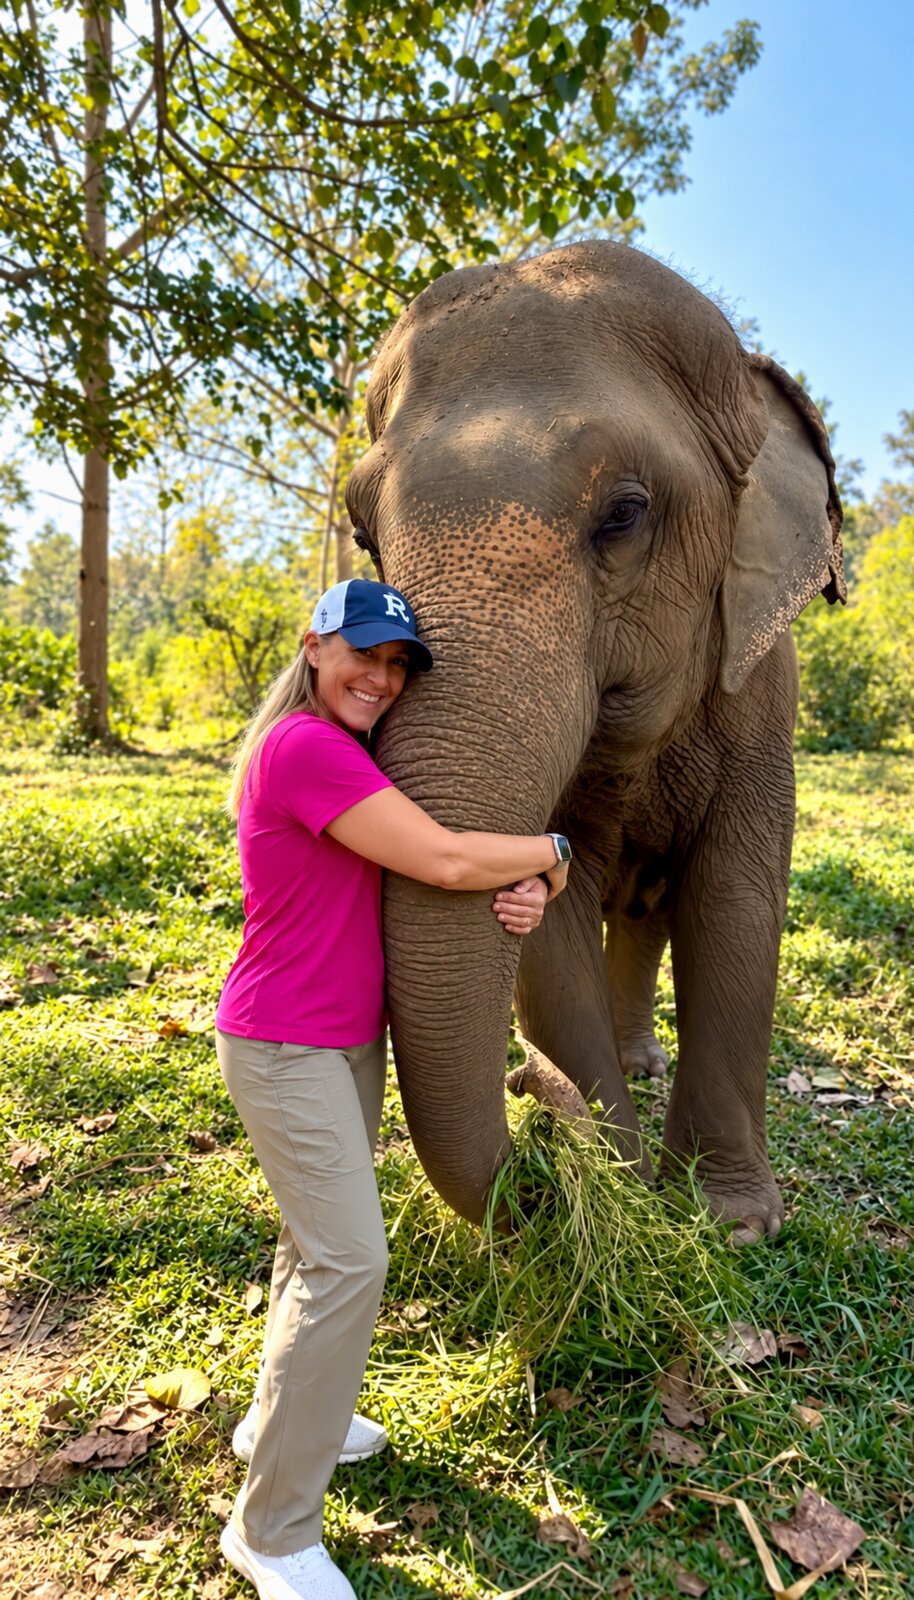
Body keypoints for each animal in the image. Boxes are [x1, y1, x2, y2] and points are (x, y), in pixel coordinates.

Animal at [345, 241, 845, 1244]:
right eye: (362, 531)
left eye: (623, 513)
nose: (524, 1088)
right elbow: (552, 927)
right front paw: (625, 1191)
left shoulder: (765, 702)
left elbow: (736, 906)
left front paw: (729, 1221)